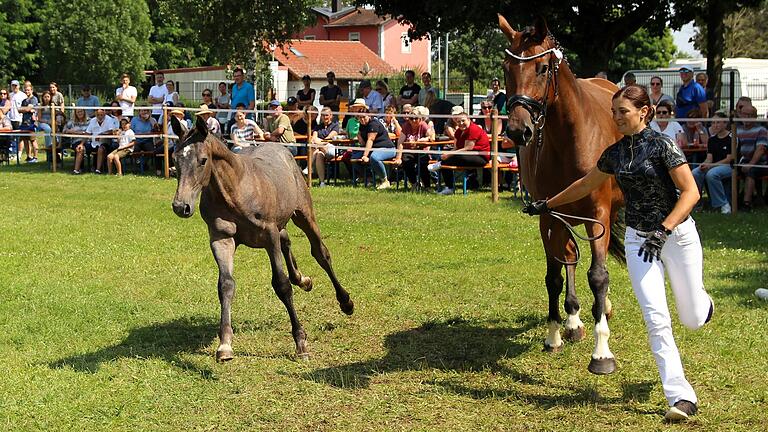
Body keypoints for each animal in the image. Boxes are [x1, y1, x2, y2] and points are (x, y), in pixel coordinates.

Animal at [171, 115, 354, 362]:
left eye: (202, 160)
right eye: (176, 159)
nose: (181, 206)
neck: (235, 190)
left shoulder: (269, 236)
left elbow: (282, 285)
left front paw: (301, 343)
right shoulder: (221, 239)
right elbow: (226, 284)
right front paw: (225, 344)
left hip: (303, 214)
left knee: (320, 253)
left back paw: (345, 302)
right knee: (287, 241)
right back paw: (303, 280)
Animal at [500, 16, 628, 374]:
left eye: (543, 68)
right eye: (506, 69)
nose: (518, 130)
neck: (571, 139)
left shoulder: (598, 215)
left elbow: (598, 275)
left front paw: (602, 353)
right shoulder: (549, 215)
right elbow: (554, 276)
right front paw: (555, 333)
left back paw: (602, 309)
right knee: (569, 256)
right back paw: (573, 320)